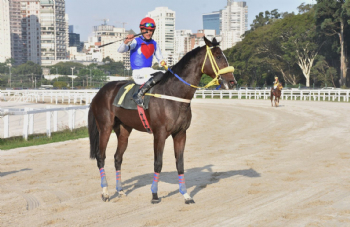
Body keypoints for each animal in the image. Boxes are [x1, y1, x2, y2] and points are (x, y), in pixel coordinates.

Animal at [87, 36, 237, 204]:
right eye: (218, 56)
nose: (232, 82)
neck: (174, 93)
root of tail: (99, 92)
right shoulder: (159, 134)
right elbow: (158, 163)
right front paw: (154, 195)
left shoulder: (180, 133)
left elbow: (180, 163)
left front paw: (186, 195)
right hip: (105, 127)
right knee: (101, 156)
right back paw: (106, 193)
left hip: (124, 130)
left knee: (117, 158)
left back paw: (120, 191)